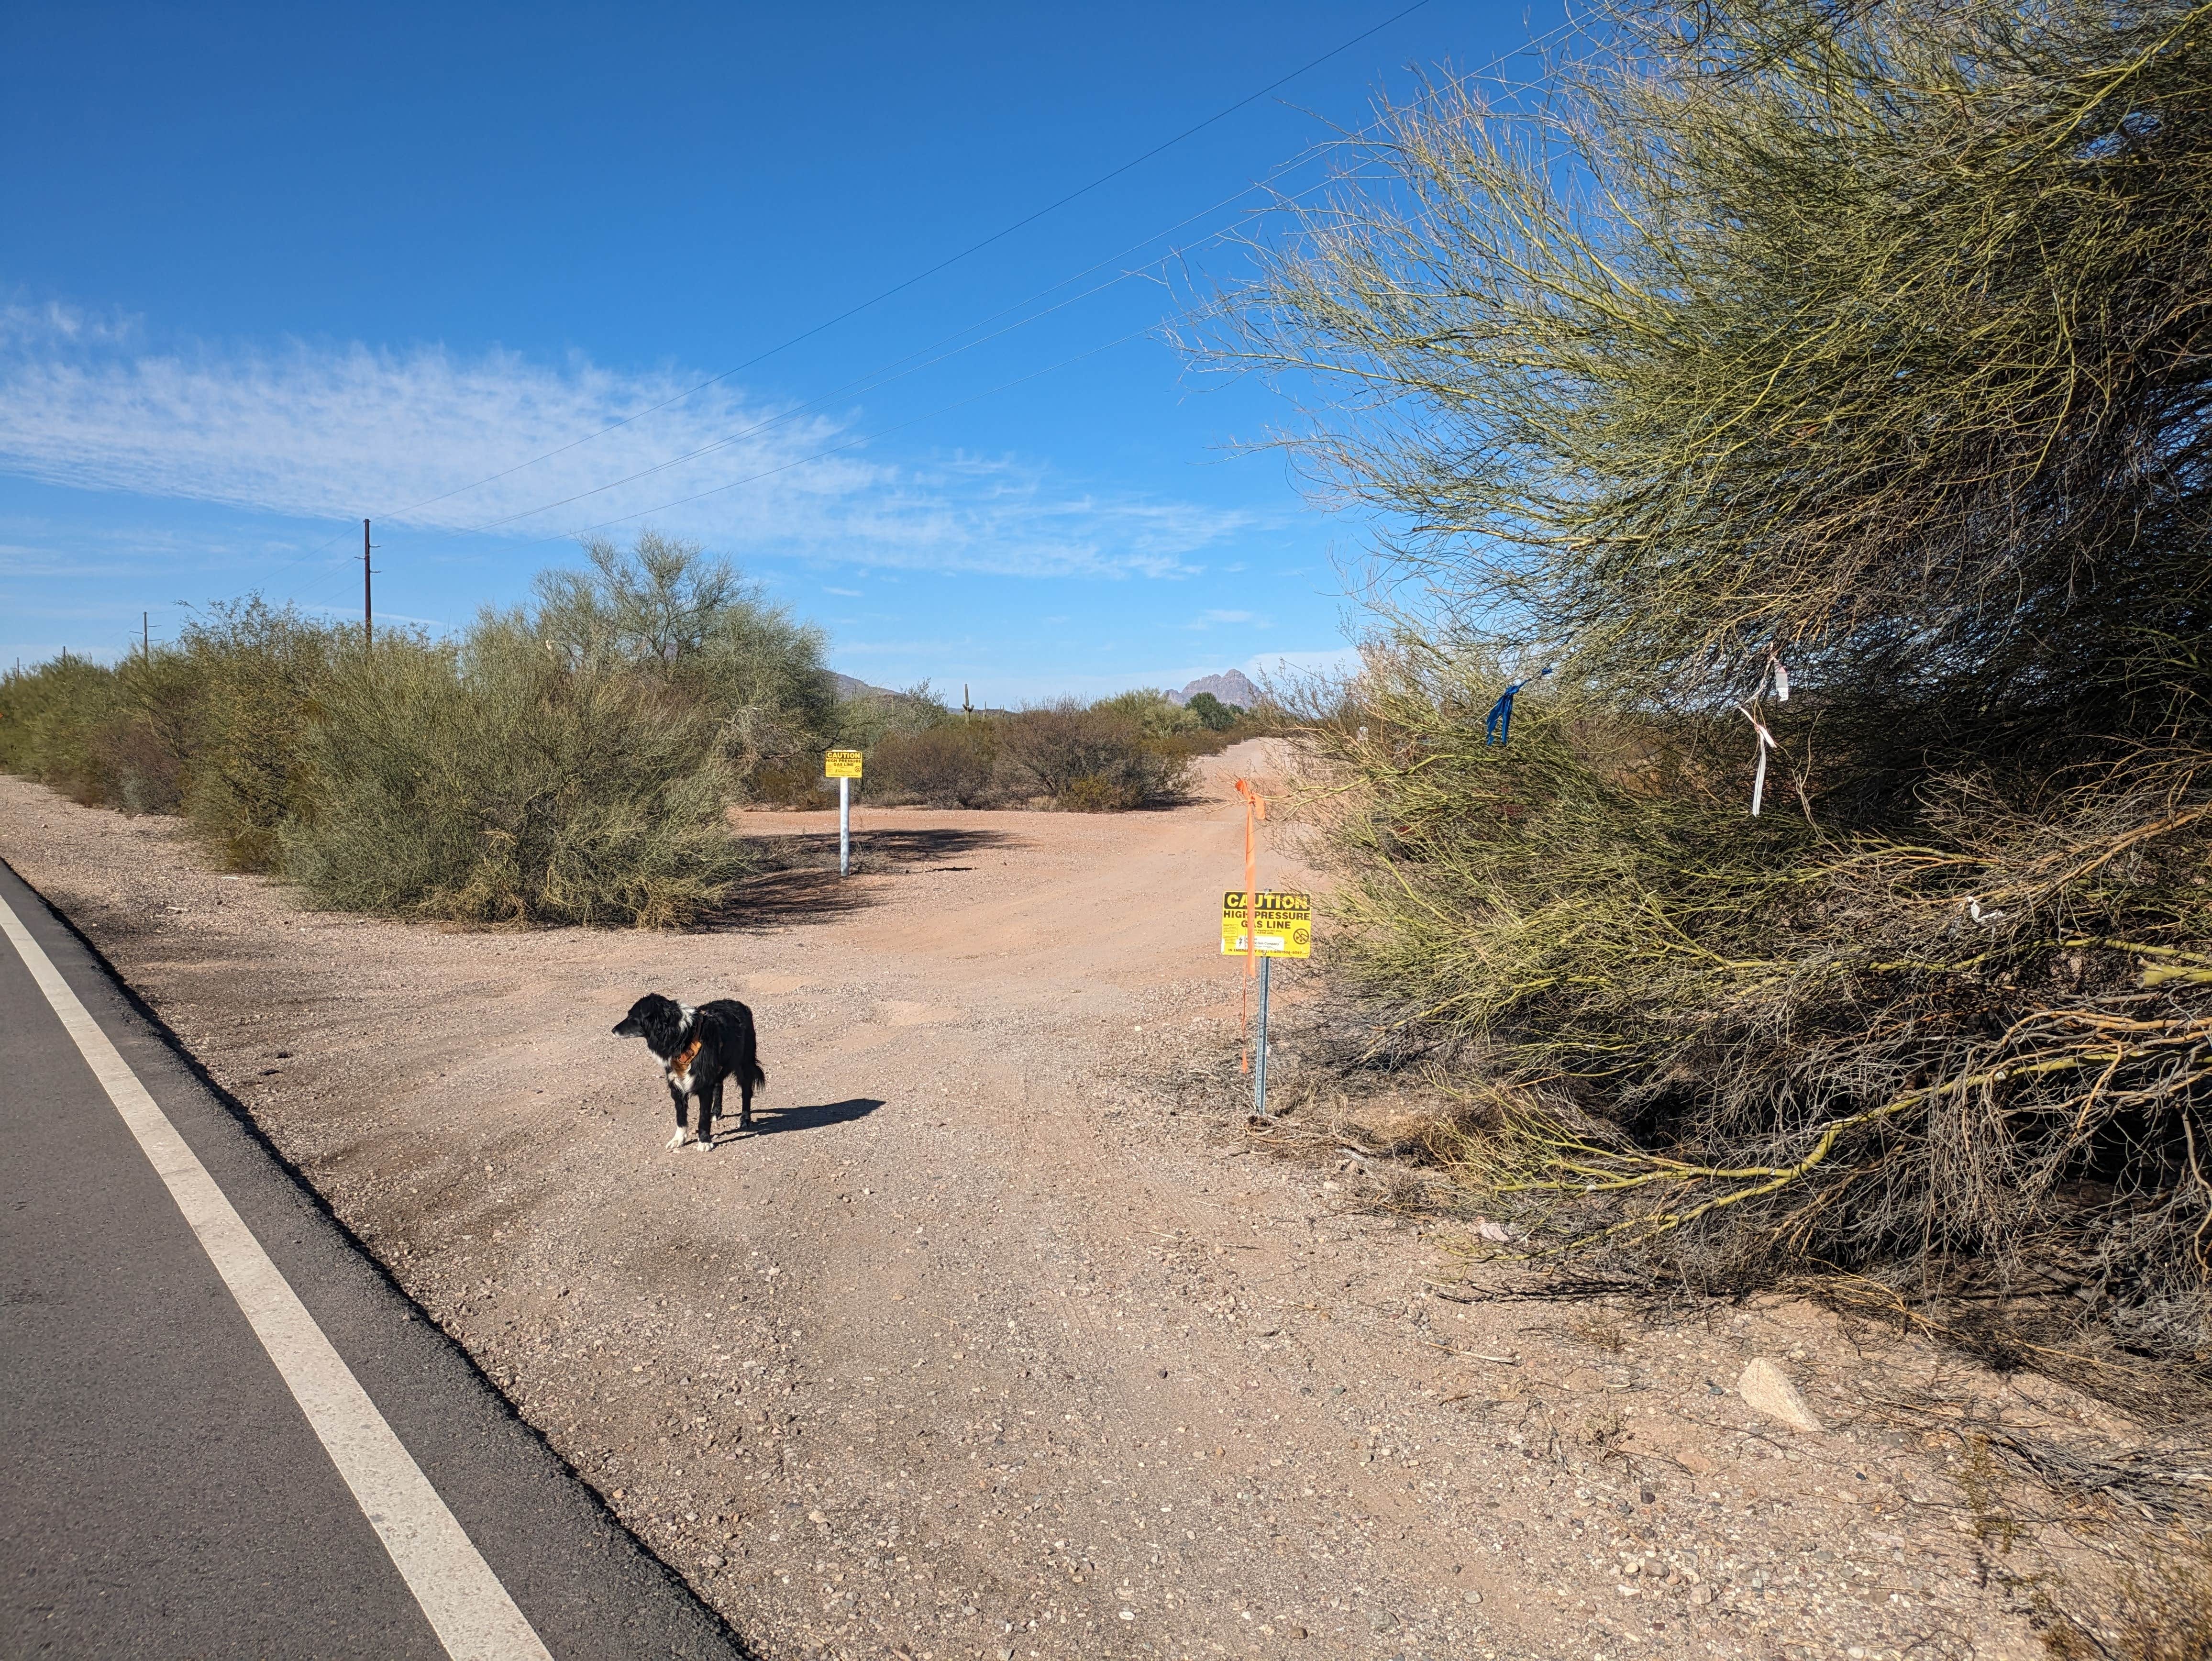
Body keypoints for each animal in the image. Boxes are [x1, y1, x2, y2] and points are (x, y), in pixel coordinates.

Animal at [615, 995, 770, 1150]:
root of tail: (739, 1004)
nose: (613, 1030)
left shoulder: (704, 1084)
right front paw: (678, 1139)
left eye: (631, 1017)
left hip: (744, 1063)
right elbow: (681, 1116)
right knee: (719, 1086)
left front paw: (705, 1141)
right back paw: (716, 1112)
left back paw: (745, 1119)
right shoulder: (676, 1083)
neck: (682, 1037)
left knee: (746, 1091)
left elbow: (703, 1117)